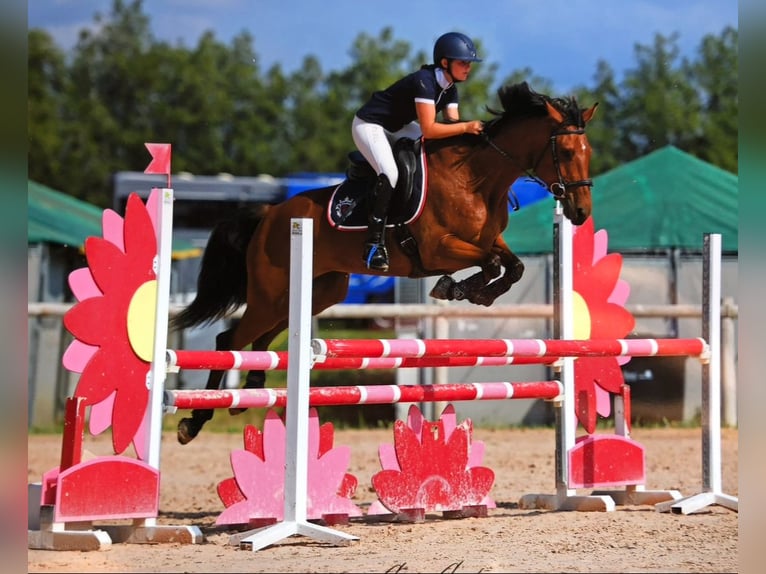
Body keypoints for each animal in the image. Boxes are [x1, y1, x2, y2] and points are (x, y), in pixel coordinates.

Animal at [172, 81, 598, 444]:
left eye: (588, 153)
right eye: (565, 152)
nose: (579, 214)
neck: (476, 180)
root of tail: (269, 214)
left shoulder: (488, 241)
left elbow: (513, 266)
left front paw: (475, 293)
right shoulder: (438, 248)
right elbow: (493, 264)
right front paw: (458, 288)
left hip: (317, 291)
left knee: (263, 339)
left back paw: (251, 392)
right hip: (270, 292)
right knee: (230, 340)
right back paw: (195, 421)